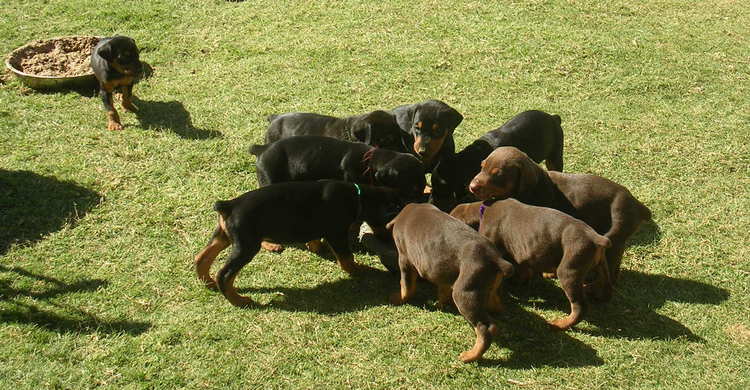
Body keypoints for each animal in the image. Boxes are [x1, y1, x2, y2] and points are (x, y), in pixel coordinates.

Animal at [195, 181, 406, 308]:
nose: (392, 241)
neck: (358, 197)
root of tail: (229, 205)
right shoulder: (336, 233)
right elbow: (346, 257)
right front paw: (359, 270)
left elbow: (315, 241)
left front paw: (316, 248)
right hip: (246, 246)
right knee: (224, 274)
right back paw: (239, 300)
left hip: (223, 236)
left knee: (201, 257)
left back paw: (207, 282)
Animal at [388, 203, 516, 364]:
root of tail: (496, 259)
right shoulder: (443, 272)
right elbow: (443, 289)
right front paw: (440, 304)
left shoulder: (404, 259)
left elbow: (406, 285)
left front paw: (398, 299)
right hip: (489, 287)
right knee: (496, 303)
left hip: (464, 293)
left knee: (485, 328)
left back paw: (470, 356)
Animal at [428, 109, 564, 212]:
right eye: (432, 186)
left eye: (442, 189)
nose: (430, 203)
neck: (470, 158)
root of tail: (553, 118)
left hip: (555, 156)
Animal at [470, 147, 652, 302]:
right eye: (482, 166)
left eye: (498, 174)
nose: (472, 187)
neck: (534, 187)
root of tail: (638, 205)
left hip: (617, 233)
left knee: (612, 270)